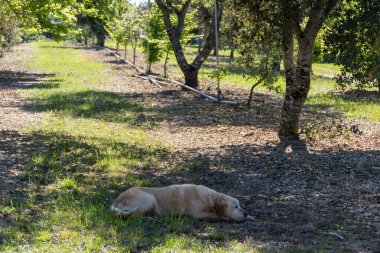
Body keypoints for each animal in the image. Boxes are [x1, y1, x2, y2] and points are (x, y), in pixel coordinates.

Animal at [110, 184, 252, 221]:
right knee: (134, 216)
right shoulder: (197, 214)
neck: (209, 198)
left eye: (240, 205)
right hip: (149, 199)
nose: (245, 213)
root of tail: (117, 200)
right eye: (236, 206)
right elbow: (218, 216)